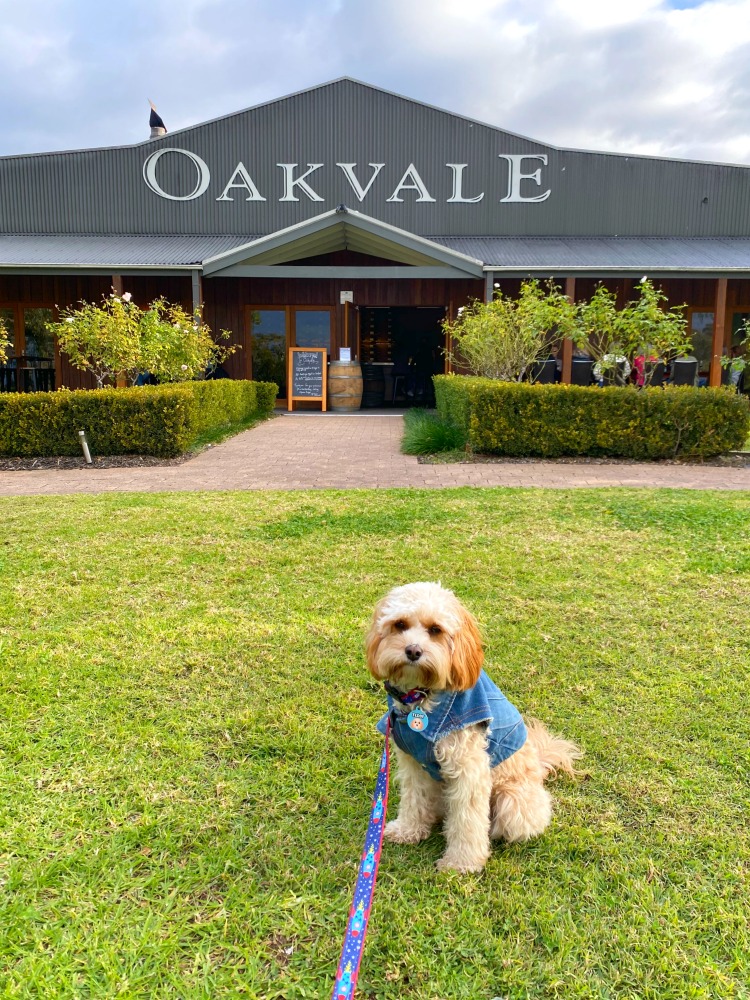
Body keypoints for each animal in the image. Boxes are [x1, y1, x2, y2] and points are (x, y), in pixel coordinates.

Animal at [368, 584, 584, 872]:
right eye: (399, 624)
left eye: (435, 629)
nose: (413, 651)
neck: (422, 697)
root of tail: (539, 766)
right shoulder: (414, 763)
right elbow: (414, 797)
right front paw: (407, 830)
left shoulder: (469, 768)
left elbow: (468, 819)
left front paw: (461, 863)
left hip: (512, 800)